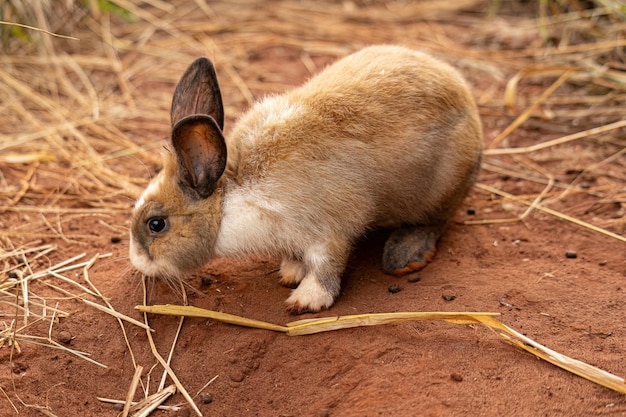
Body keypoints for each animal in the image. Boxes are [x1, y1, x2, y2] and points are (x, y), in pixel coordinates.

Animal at [129, 44, 482, 312]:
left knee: (436, 221)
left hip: (441, 191)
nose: (136, 262)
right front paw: (291, 271)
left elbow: (327, 266)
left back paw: (406, 255)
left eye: (156, 224)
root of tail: (467, 99)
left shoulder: (330, 230)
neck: (229, 199)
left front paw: (306, 300)